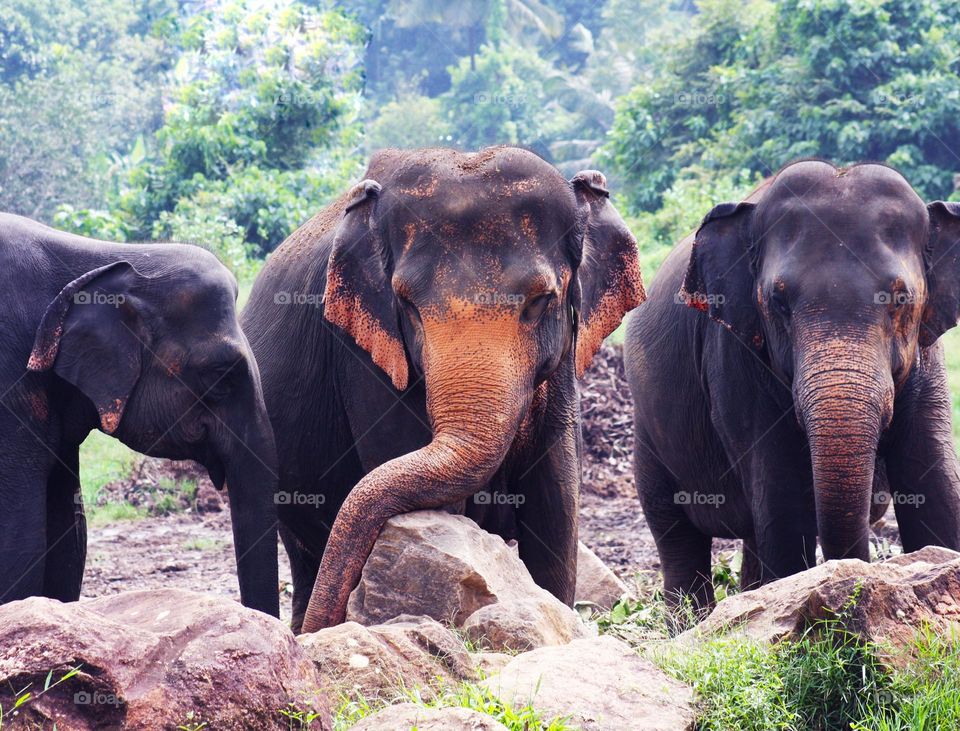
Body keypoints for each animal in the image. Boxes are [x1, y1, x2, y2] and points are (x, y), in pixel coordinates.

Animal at [625, 159, 960, 612]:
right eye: (778, 302)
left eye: (901, 300)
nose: (855, 577)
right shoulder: (733, 356)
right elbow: (781, 491)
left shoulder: (928, 358)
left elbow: (932, 478)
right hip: (649, 434)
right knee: (675, 530)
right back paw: (691, 617)